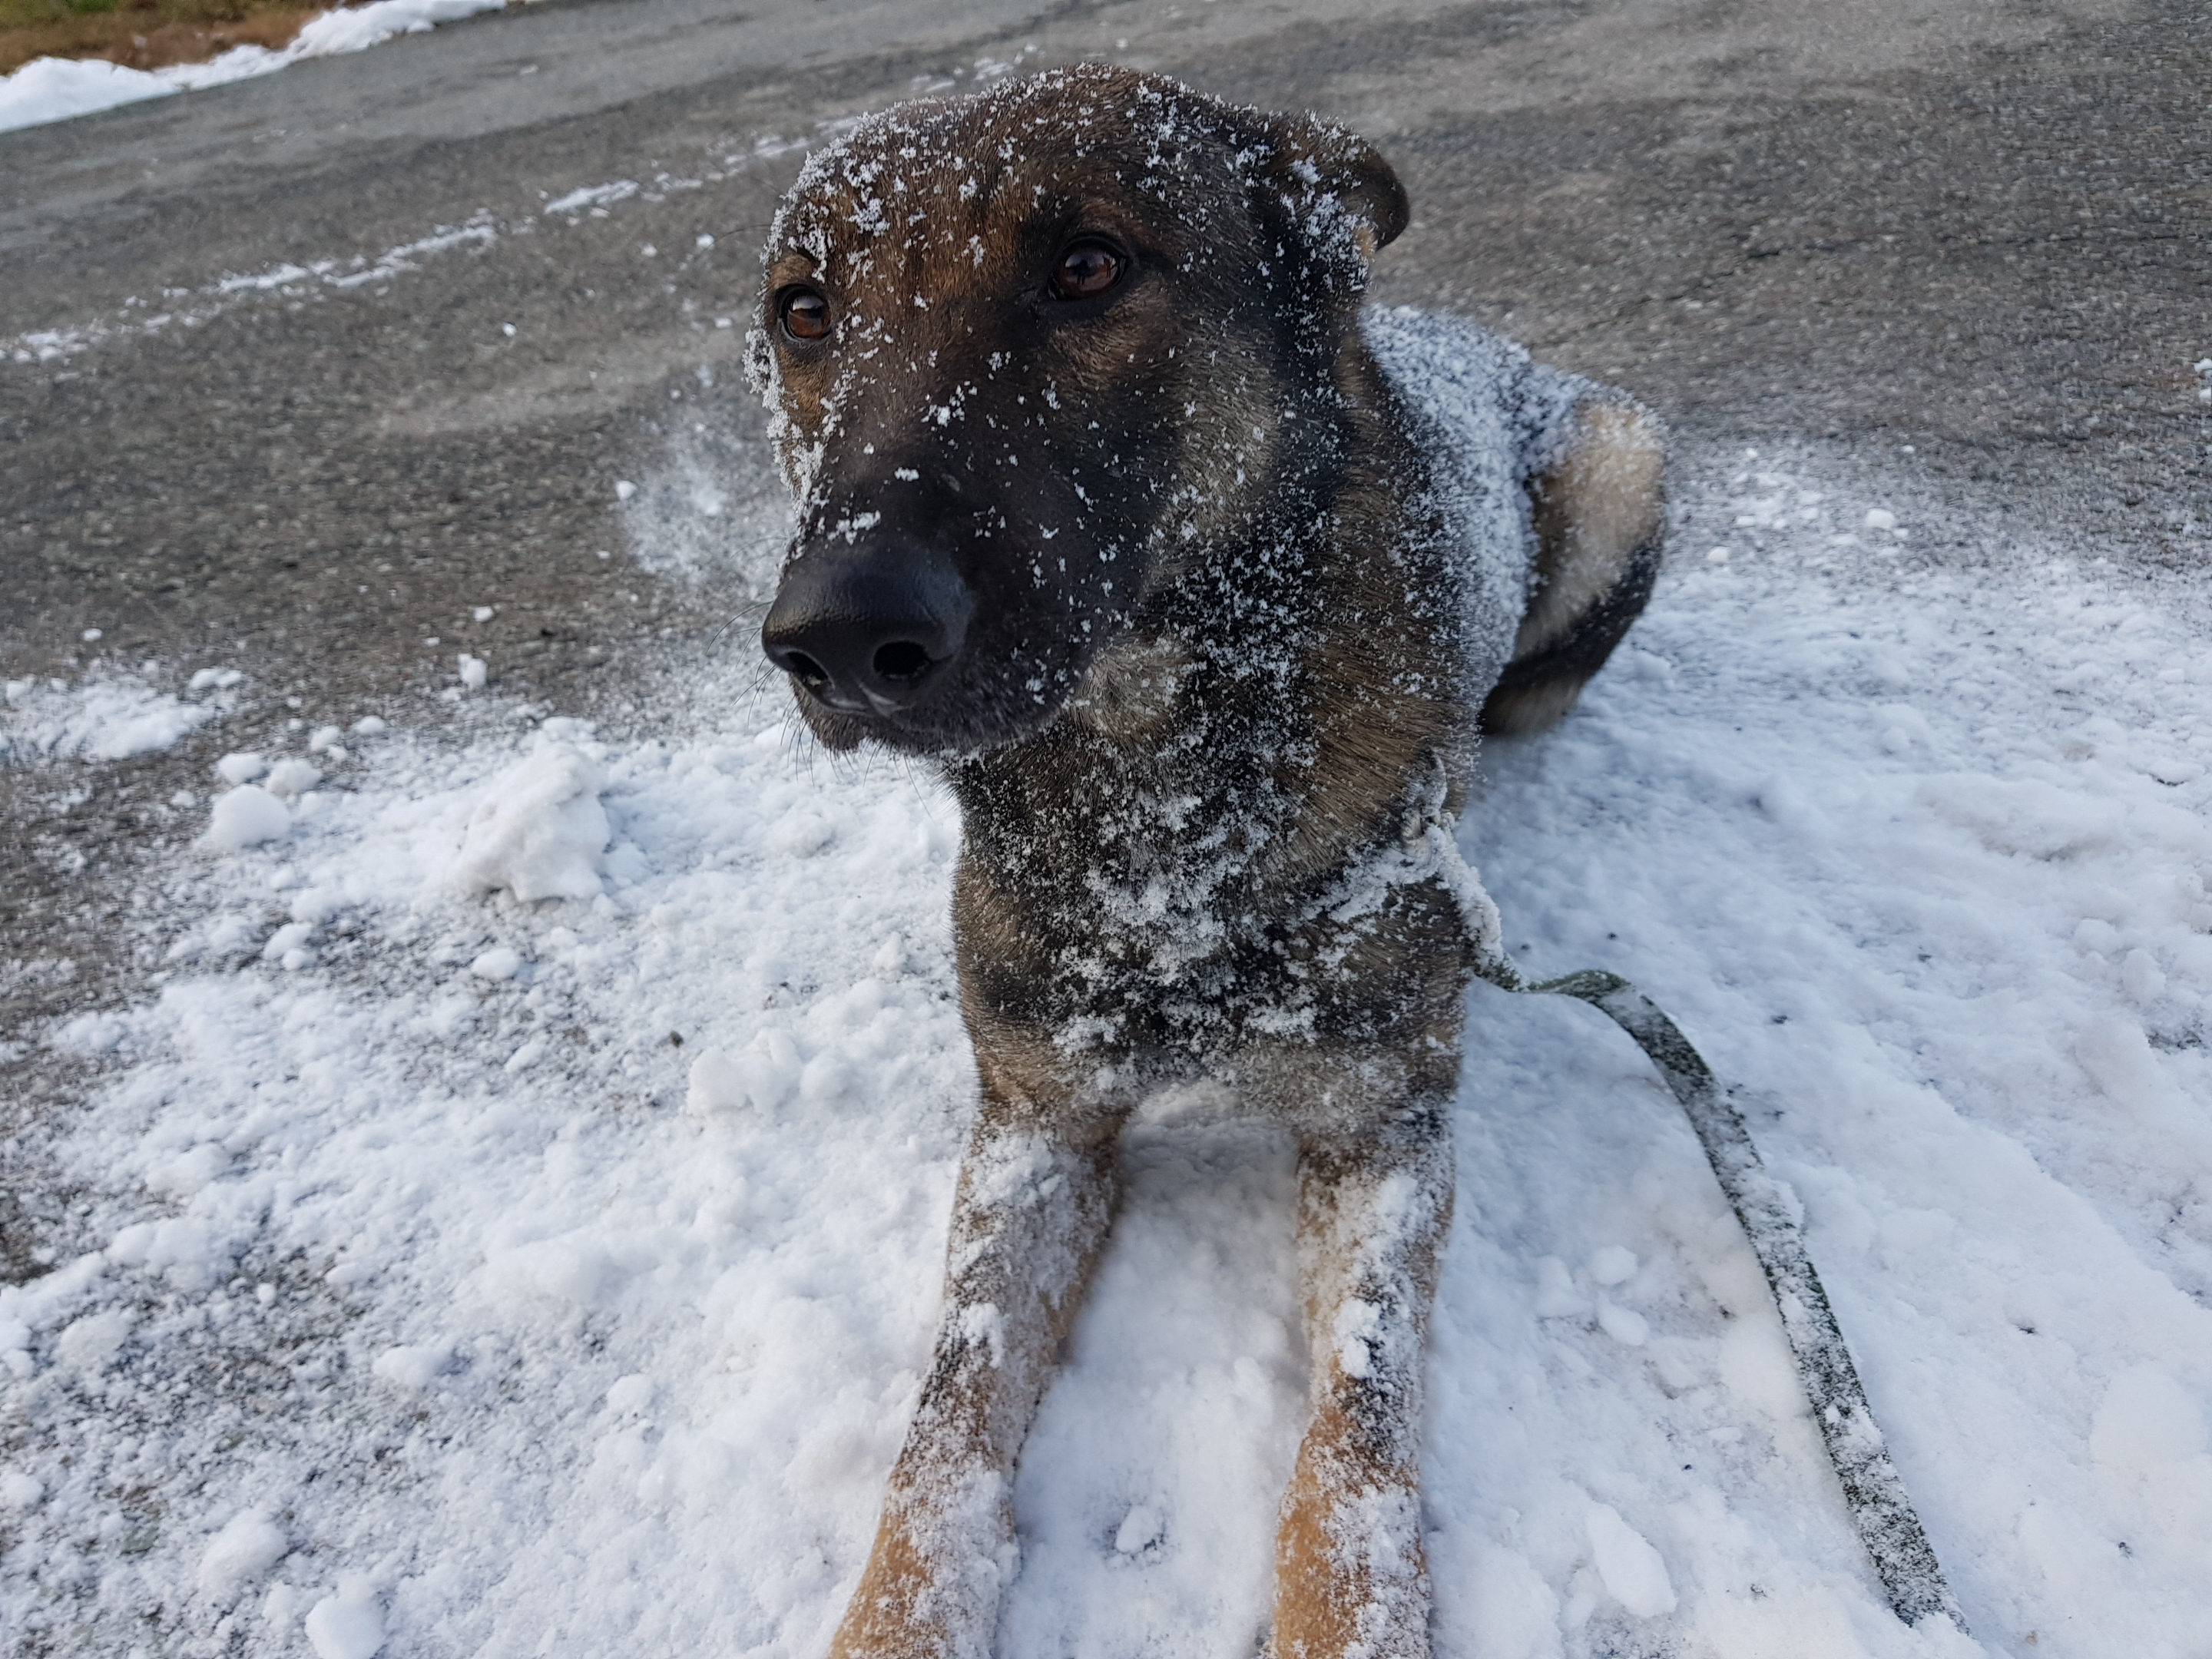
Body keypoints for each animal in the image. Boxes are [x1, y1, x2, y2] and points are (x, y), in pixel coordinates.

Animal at [743, 65, 1663, 1659]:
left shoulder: (1388, 1128)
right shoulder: (1036, 1126)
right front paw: (899, 1617)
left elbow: (1355, 1433)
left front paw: (1353, 1622)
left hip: (1623, 457)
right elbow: (947, 1421)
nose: (838, 638)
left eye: (1089, 266)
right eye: (804, 311)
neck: (1164, 811)